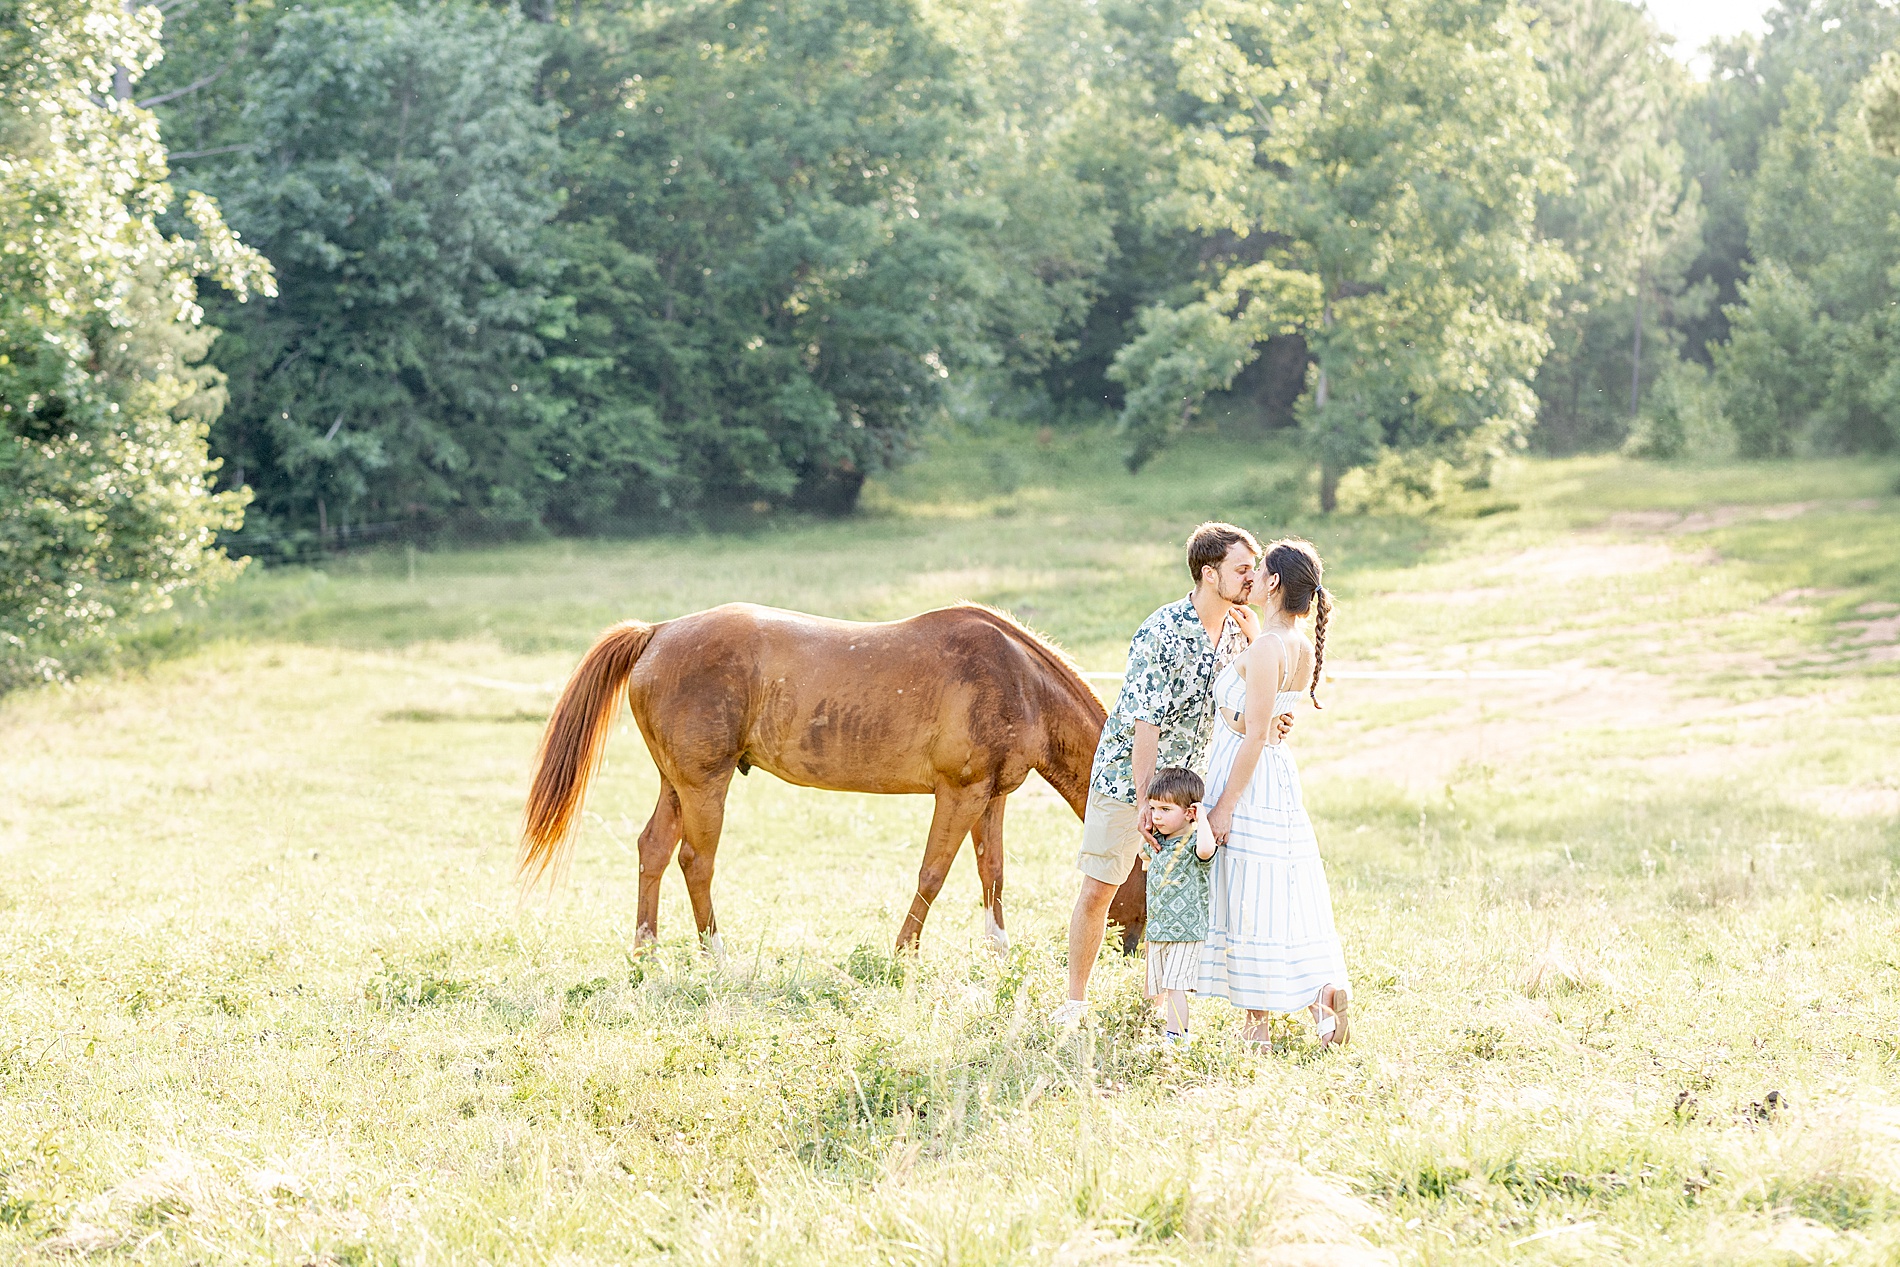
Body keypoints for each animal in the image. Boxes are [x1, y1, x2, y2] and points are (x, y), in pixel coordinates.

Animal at [520, 602, 1149, 954]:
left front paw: (998, 953)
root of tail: (659, 631)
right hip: (704, 786)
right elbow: (933, 874)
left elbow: (991, 876)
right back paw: (717, 957)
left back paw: (646, 952)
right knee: (695, 863)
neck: (1017, 679)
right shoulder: (959, 793)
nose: (1130, 947)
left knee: (652, 849)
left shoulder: (989, 799)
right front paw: (902, 955)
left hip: (675, 785)